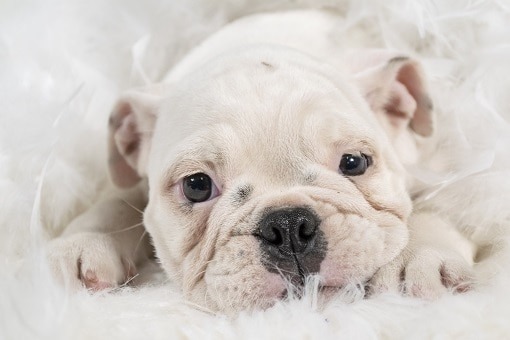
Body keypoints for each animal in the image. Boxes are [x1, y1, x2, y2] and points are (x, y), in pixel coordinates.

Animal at [46, 9, 474, 312]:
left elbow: (433, 206)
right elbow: (119, 197)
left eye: (354, 162)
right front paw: (83, 241)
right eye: (196, 185)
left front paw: (414, 259)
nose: (288, 226)